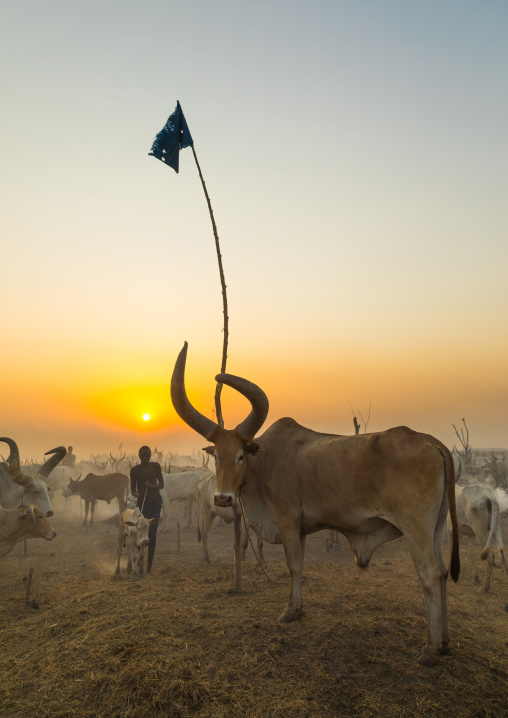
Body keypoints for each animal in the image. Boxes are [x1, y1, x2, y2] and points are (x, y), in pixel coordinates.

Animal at [170, 343, 460, 667]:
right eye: (217, 457)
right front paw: (299, 609)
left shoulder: (287, 522)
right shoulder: (302, 529)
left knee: (430, 577)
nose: (222, 498)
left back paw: (430, 650)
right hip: (437, 528)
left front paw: (289, 611)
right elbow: (300, 566)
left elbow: (293, 566)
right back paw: (445, 642)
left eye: (241, 456)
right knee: (444, 574)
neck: (267, 460)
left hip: (416, 529)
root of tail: (434, 443)